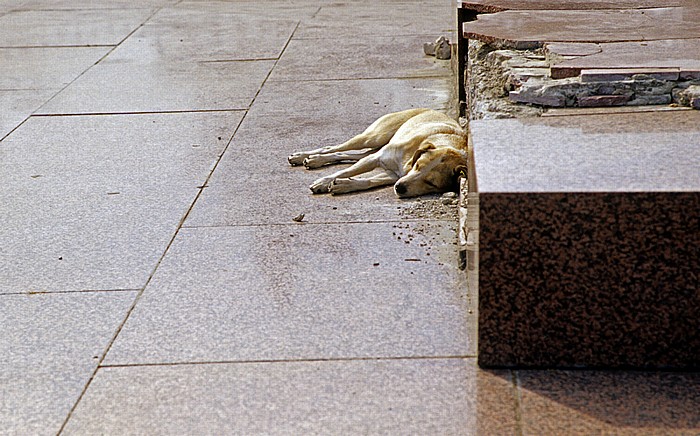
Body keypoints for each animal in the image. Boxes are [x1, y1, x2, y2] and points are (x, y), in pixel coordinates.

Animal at [288, 108, 468, 198]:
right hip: (373, 138)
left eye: (431, 183)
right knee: (334, 148)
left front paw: (345, 185)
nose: (400, 188)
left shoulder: (393, 175)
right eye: (417, 165)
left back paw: (313, 159)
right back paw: (306, 157)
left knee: (347, 155)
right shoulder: (377, 159)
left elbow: (369, 181)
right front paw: (322, 182)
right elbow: (344, 171)